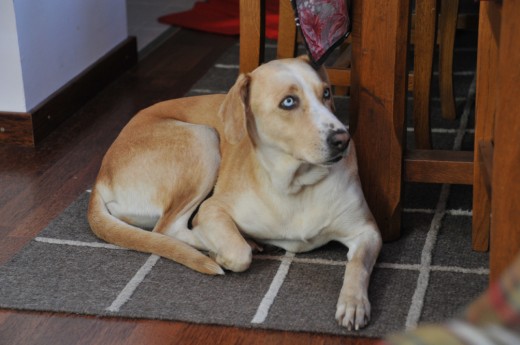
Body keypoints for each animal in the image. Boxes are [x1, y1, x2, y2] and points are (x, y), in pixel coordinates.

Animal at [88, 55, 382, 330]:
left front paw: (354, 303)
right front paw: (224, 251)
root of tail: (102, 173)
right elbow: (239, 254)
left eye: (327, 93)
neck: (296, 184)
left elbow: (358, 265)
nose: (343, 139)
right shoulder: (213, 208)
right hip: (204, 139)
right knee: (168, 229)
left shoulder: (368, 232)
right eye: (288, 102)